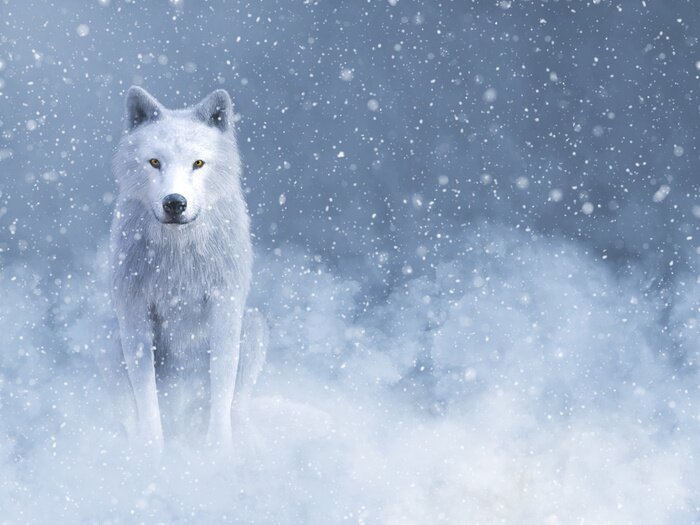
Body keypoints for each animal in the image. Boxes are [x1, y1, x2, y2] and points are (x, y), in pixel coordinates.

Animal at [109, 86, 266, 452]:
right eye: (155, 162)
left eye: (198, 163)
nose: (174, 202)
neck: (177, 256)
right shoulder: (134, 313)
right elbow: (147, 396)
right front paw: (152, 453)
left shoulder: (225, 308)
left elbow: (222, 386)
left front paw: (218, 452)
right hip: (109, 336)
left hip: (253, 325)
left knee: (237, 404)